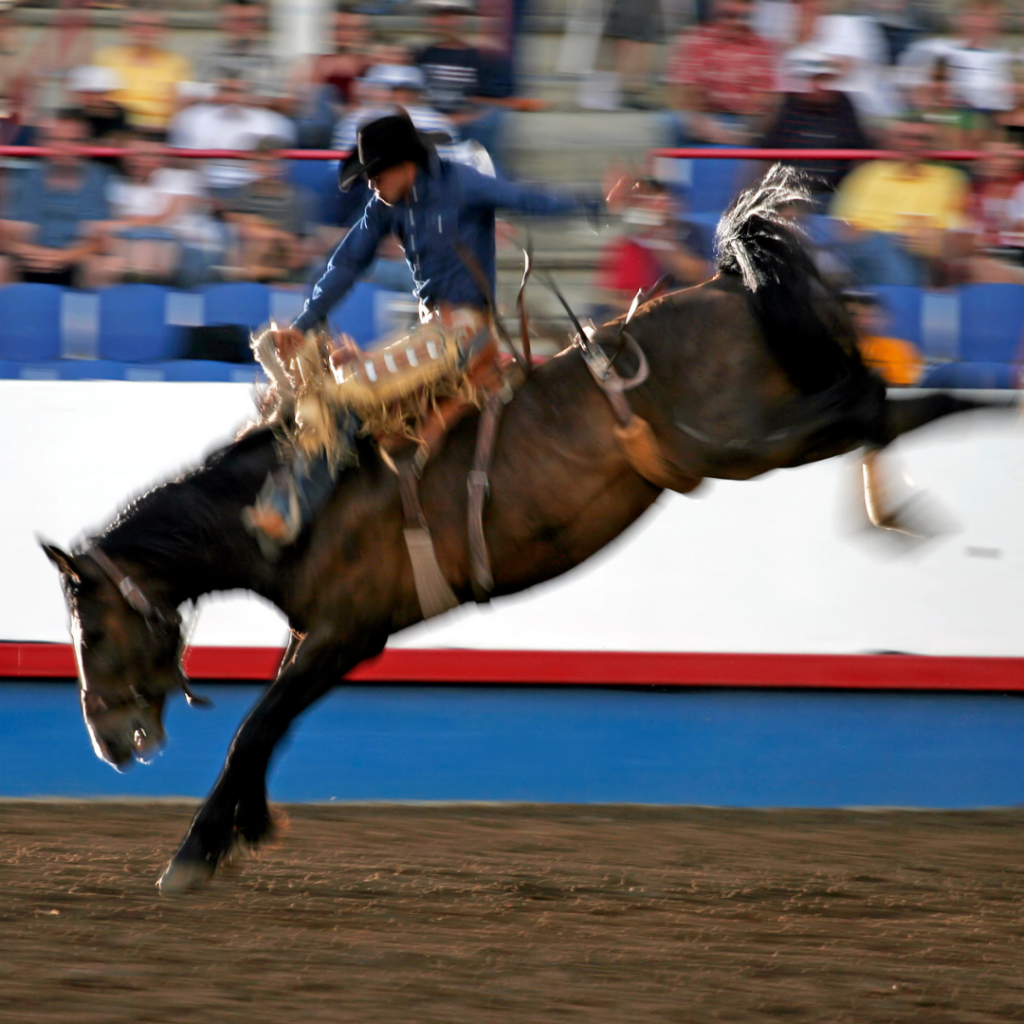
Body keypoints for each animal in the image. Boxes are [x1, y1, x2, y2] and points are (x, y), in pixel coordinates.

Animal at [44, 163, 1011, 892]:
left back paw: (922, 482)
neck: (286, 507)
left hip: (750, 442)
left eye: (93, 626)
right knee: (884, 408)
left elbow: (256, 725)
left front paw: (195, 853)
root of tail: (727, 285)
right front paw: (243, 826)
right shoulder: (328, 634)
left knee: (870, 403)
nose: (105, 742)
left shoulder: (347, 630)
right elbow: (268, 726)